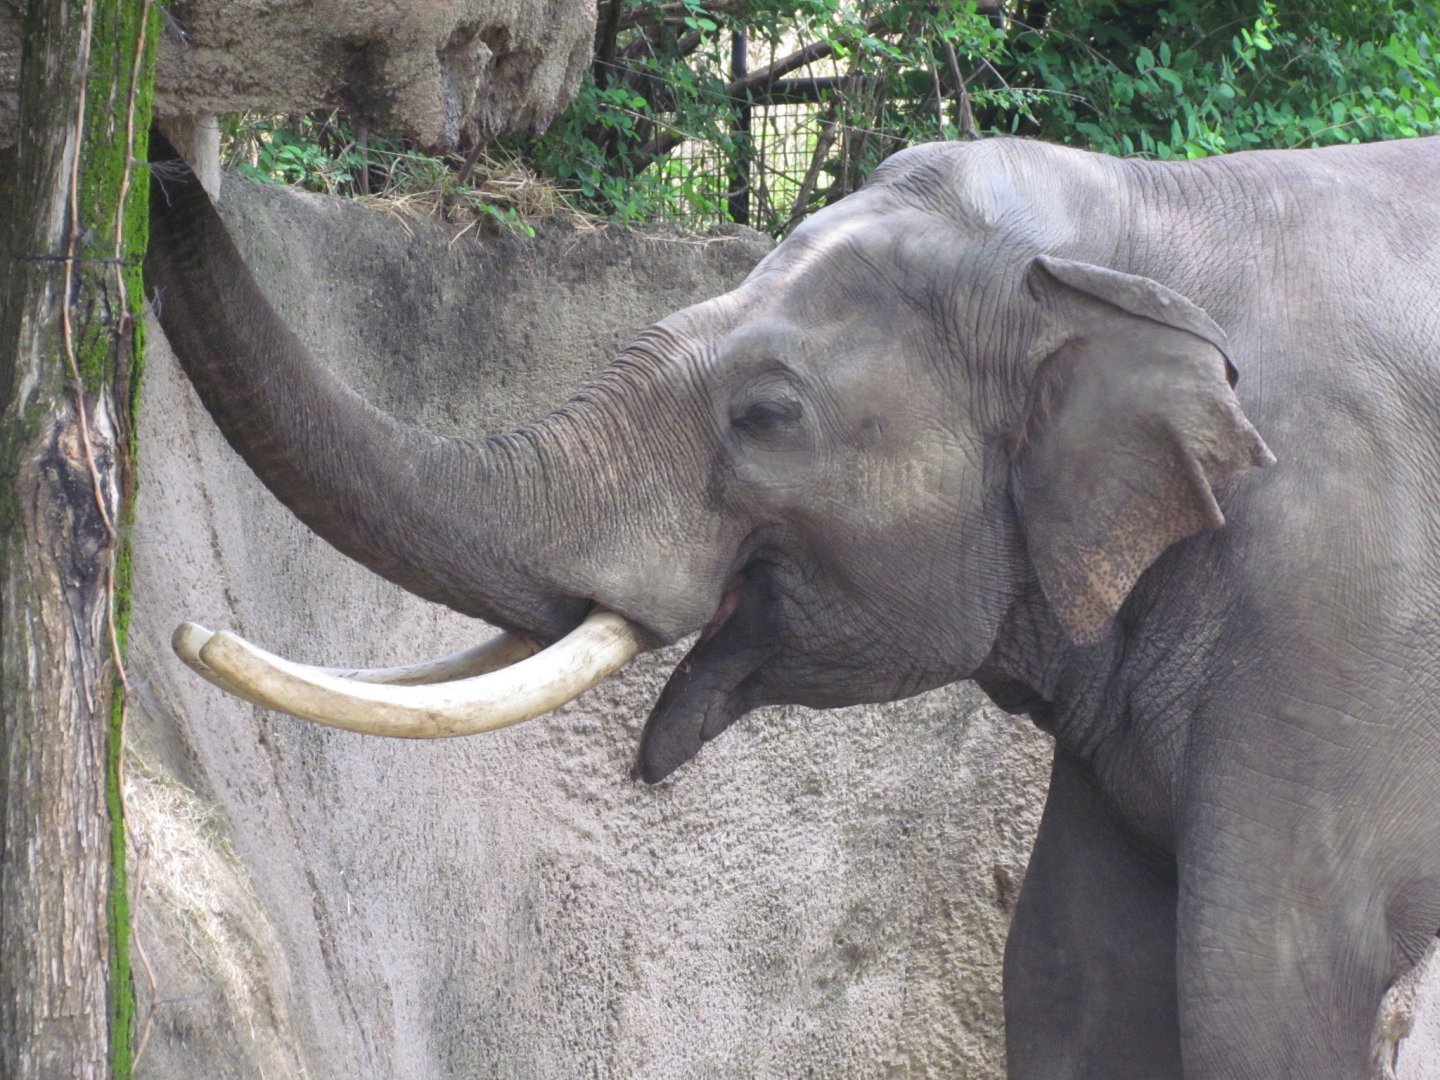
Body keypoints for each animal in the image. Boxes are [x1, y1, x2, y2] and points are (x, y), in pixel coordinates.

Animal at [146, 130, 1440, 1078]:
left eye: (767, 415)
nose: (158, 155)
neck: (1145, 213)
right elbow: (1073, 974)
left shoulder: (1339, 602)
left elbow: (1261, 986)